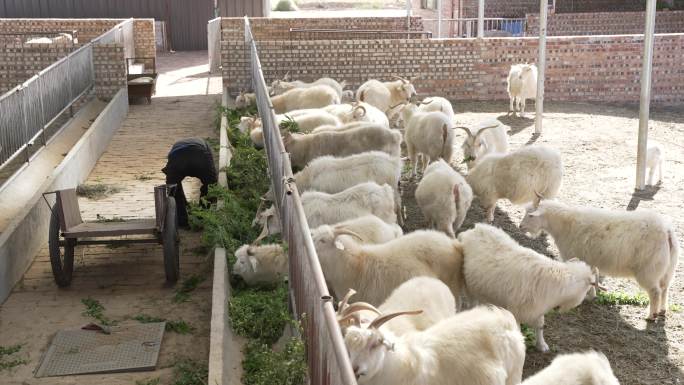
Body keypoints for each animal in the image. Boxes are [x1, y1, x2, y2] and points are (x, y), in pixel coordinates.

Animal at [460, 222, 600, 352]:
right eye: (588, 289)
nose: (591, 298)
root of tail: (476, 228)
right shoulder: (516, 311)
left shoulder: (538, 310)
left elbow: (540, 326)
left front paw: (542, 345)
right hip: (467, 284)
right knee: (471, 301)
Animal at [524, 200, 680, 320]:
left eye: (530, 215)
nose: (521, 226)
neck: (564, 224)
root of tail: (666, 231)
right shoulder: (589, 261)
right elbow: (592, 278)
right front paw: (591, 295)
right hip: (667, 269)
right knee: (665, 288)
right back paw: (662, 310)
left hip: (649, 270)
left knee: (655, 292)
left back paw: (651, 315)